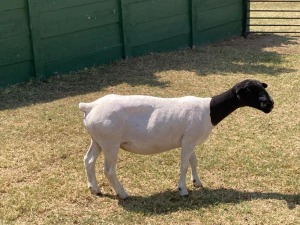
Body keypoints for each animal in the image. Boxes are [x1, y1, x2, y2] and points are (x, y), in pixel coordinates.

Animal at [79, 78, 274, 199]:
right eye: (250, 90)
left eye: (262, 87)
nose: (269, 104)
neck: (209, 110)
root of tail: (90, 106)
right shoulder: (188, 141)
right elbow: (184, 164)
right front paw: (183, 190)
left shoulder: (190, 140)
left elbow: (194, 161)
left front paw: (197, 182)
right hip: (110, 142)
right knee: (109, 170)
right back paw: (123, 194)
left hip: (97, 139)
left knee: (88, 160)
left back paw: (95, 189)